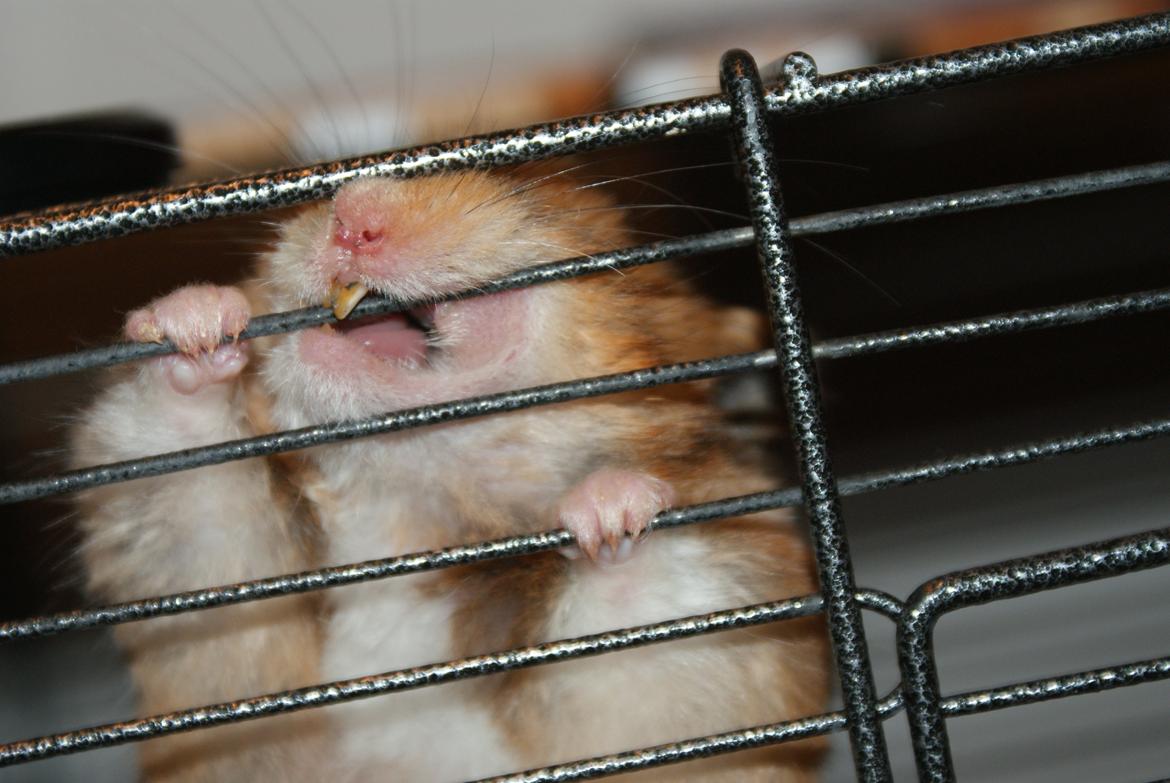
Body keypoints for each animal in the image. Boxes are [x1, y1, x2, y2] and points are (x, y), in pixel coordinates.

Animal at [72, 161, 829, 781]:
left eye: (535, 197)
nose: (352, 212)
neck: (409, 513)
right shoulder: (226, 654)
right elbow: (197, 484)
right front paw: (197, 319)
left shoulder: (721, 659)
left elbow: (640, 615)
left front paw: (613, 508)